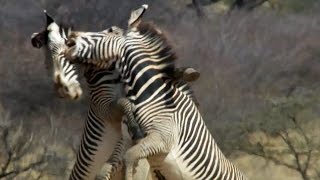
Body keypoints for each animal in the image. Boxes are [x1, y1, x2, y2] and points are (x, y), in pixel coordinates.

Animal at [30, 10, 200, 180]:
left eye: (64, 52)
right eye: (47, 64)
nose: (64, 92)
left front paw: (187, 73)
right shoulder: (105, 109)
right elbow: (124, 102)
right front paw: (135, 128)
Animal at [64, 4, 248, 180]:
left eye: (109, 30)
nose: (70, 37)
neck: (151, 94)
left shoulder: (162, 137)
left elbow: (129, 158)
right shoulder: (127, 142)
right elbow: (107, 169)